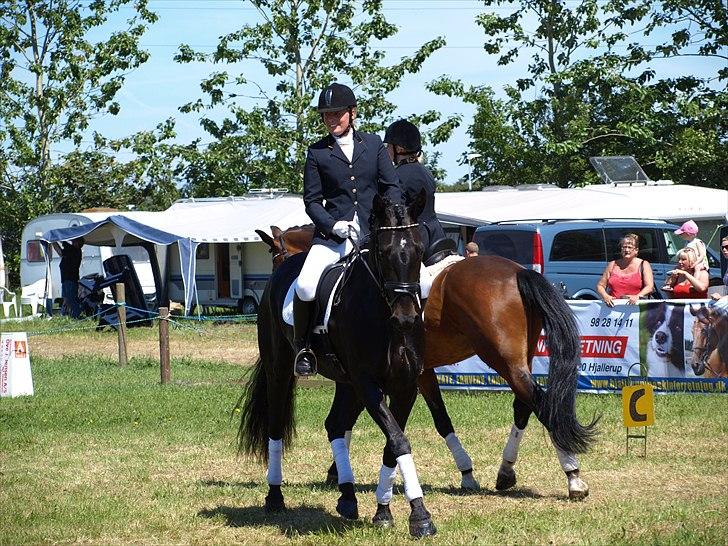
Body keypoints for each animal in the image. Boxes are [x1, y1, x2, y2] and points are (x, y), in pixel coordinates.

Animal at [237, 192, 438, 536]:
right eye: (383, 253)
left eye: (419, 251)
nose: (407, 318)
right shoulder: (367, 383)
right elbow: (398, 440)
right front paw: (419, 515)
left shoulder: (405, 385)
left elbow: (392, 444)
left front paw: (385, 511)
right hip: (280, 371)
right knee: (276, 428)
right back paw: (275, 496)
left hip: (346, 383)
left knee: (334, 424)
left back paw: (347, 497)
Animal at [258, 222, 600, 498]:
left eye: (275, 256)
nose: (274, 281)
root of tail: (518, 271)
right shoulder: (416, 371)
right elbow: (439, 418)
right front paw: (465, 472)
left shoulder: (398, 372)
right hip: (519, 358)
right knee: (524, 404)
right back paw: (506, 471)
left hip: (502, 358)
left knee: (539, 402)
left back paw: (573, 476)